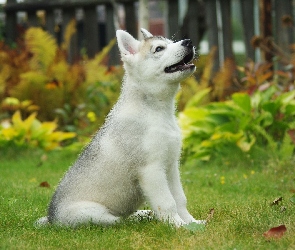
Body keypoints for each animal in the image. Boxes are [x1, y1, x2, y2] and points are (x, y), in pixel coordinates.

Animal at [35, 28, 206, 228]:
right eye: (159, 49)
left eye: (171, 42)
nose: (188, 42)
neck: (157, 112)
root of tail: (51, 219)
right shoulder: (151, 169)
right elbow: (167, 202)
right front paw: (178, 226)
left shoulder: (171, 167)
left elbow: (180, 199)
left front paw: (193, 223)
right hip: (93, 214)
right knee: (117, 221)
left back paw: (142, 214)